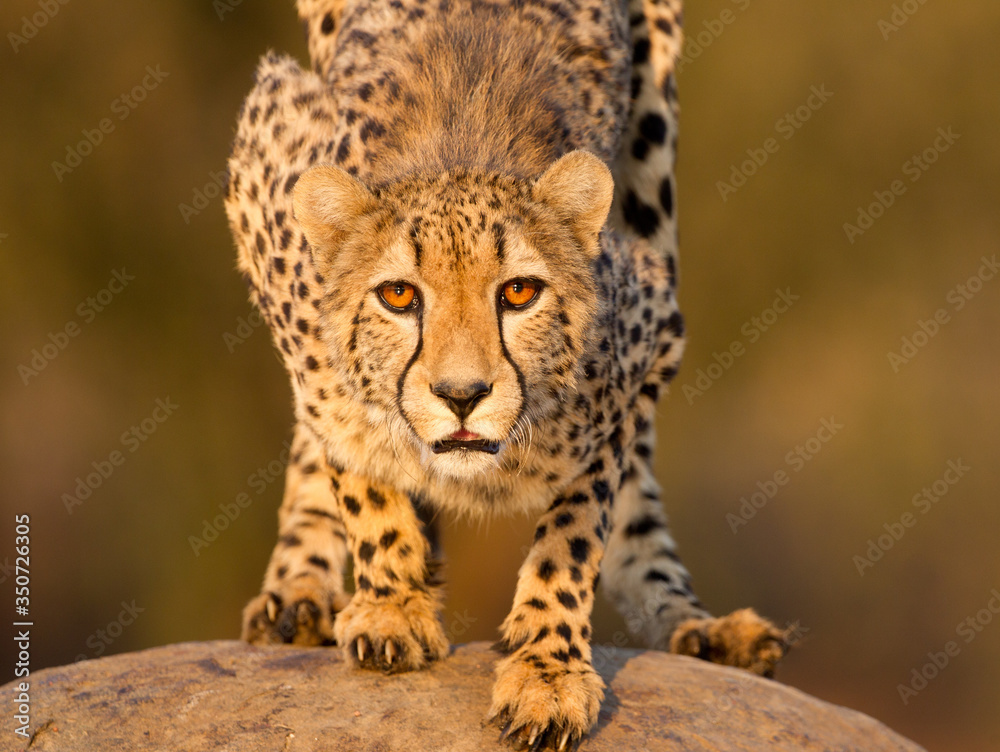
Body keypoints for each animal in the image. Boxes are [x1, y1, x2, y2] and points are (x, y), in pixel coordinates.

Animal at [223, 0, 789, 748]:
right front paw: (393, 603)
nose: (462, 396)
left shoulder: (645, 346)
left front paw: (546, 671)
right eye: (398, 296)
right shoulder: (271, 193)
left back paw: (696, 624)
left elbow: (576, 531)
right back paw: (299, 593)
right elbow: (351, 455)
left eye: (519, 293)